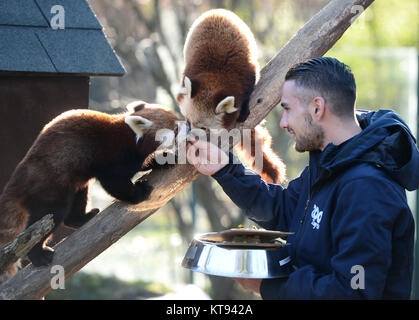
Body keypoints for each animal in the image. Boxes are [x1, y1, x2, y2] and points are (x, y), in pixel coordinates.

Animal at [0, 100, 179, 282]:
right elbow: (114, 182)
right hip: (49, 184)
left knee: (78, 198)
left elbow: (144, 162)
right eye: (176, 127)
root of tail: (17, 180)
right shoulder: (113, 154)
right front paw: (139, 192)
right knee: (50, 214)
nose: (186, 125)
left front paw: (165, 159)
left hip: (75, 182)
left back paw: (81, 218)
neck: (130, 136)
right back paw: (38, 255)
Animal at [176, 8, 288, 184]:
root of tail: (217, 11)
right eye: (188, 121)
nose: (190, 137)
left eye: (204, 128)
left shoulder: (245, 73)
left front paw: (243, 111)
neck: (215, 77)